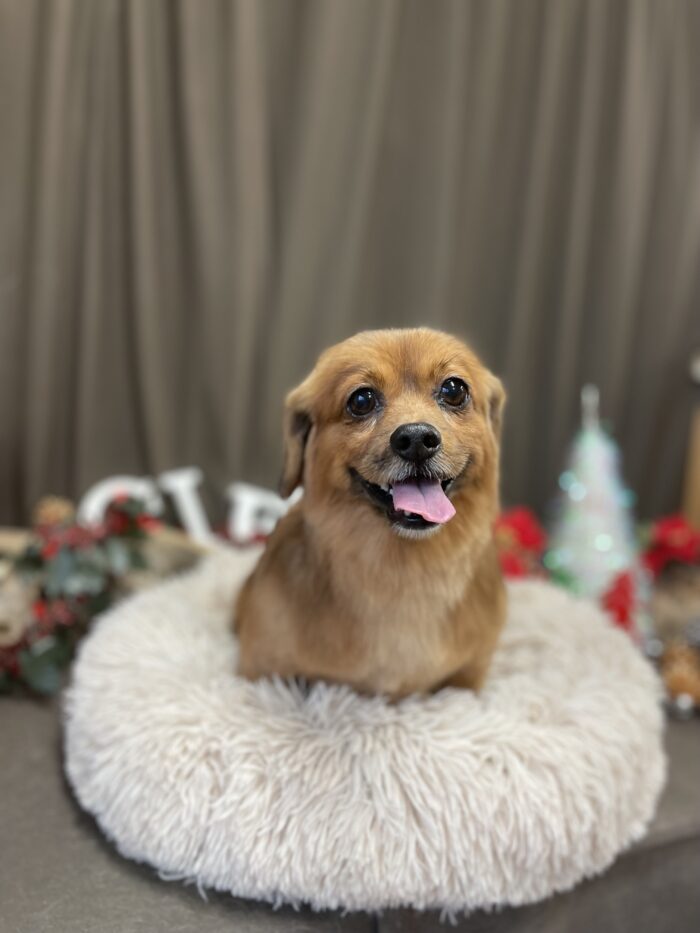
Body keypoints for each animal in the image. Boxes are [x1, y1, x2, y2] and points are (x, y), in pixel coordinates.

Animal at [234, 328, 507, 699]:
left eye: (454, 390)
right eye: (361, 400)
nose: (417, 439)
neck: (401, 572)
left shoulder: (471, 674)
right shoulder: (260, 668)